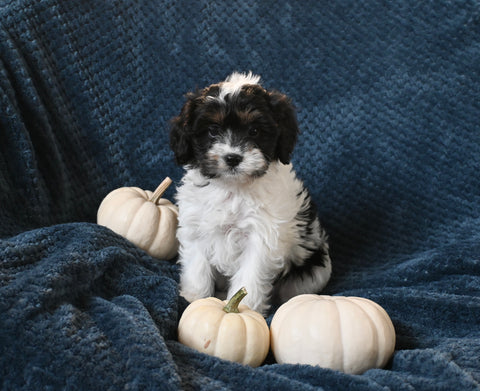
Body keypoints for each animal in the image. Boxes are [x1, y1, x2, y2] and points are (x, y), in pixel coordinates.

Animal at [169, 71, 330, 316]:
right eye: (213, 130)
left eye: (254, 131)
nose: (233, 158)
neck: (233, 187)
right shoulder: (196, 228)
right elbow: (197, 269)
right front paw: (193, 298)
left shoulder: (261, 238)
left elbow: (250, 277)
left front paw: (246, 308)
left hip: (313, 272)